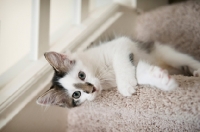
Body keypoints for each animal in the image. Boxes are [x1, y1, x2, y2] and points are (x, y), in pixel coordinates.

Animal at [36, 36, 200, 108]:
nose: (91, 89)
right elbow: (140, 74)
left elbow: (120, 60)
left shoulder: (121, 43)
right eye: (76, 95)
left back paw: (197, 70)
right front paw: (161, 79)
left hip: (167, 54)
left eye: (81, 75)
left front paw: (125, 84)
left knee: (188, 60)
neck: (101, 74)